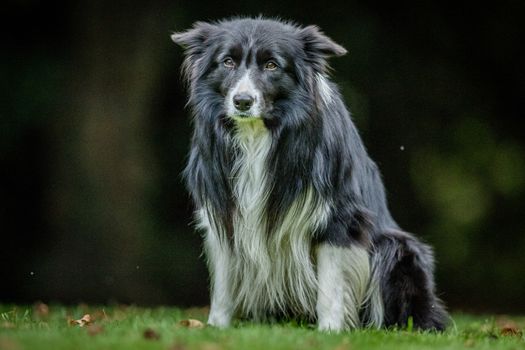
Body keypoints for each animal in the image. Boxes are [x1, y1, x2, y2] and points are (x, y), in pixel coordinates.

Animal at [171, 17, 446, 330]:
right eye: (227, 62)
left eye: (272, 65)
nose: (242, 101)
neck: (257, 134)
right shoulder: (223, 210)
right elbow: (223, 284)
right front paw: (216, 327)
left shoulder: (339, 215)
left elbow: (332, 282)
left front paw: (330, 331)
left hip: (397, 247)